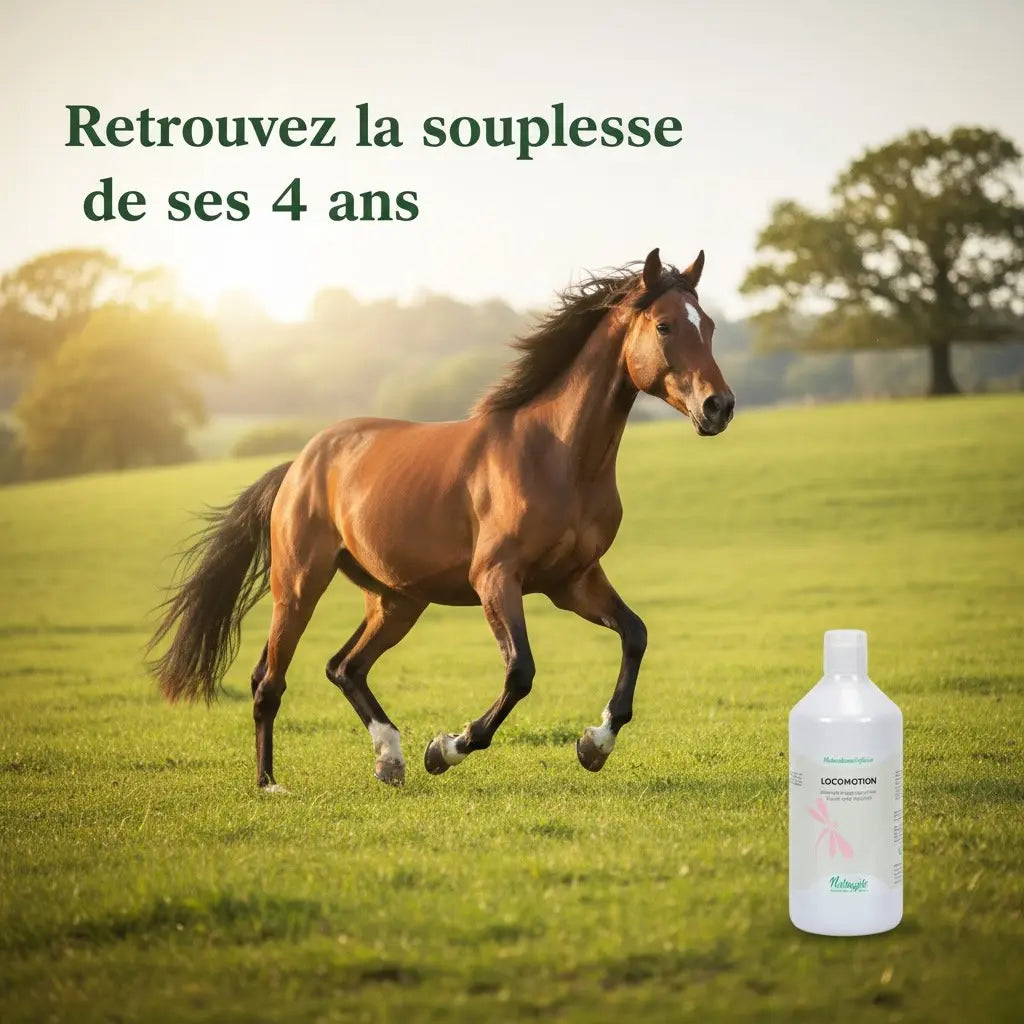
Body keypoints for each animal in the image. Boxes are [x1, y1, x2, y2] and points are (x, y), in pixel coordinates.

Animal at [147, 248, 735, 789]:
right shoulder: (496, 578)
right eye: (664, 325)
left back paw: (390, 759)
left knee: (344, 667)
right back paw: (271, 783)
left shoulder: (573, 581)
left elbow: (634, 635)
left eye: (708, 326)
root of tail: (299, 464)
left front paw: (594, 744)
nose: (719, 407)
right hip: (298, 586)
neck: (556, 455)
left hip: (397, 599)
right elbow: (520, 672)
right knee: (269, 680)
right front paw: (447, 748)